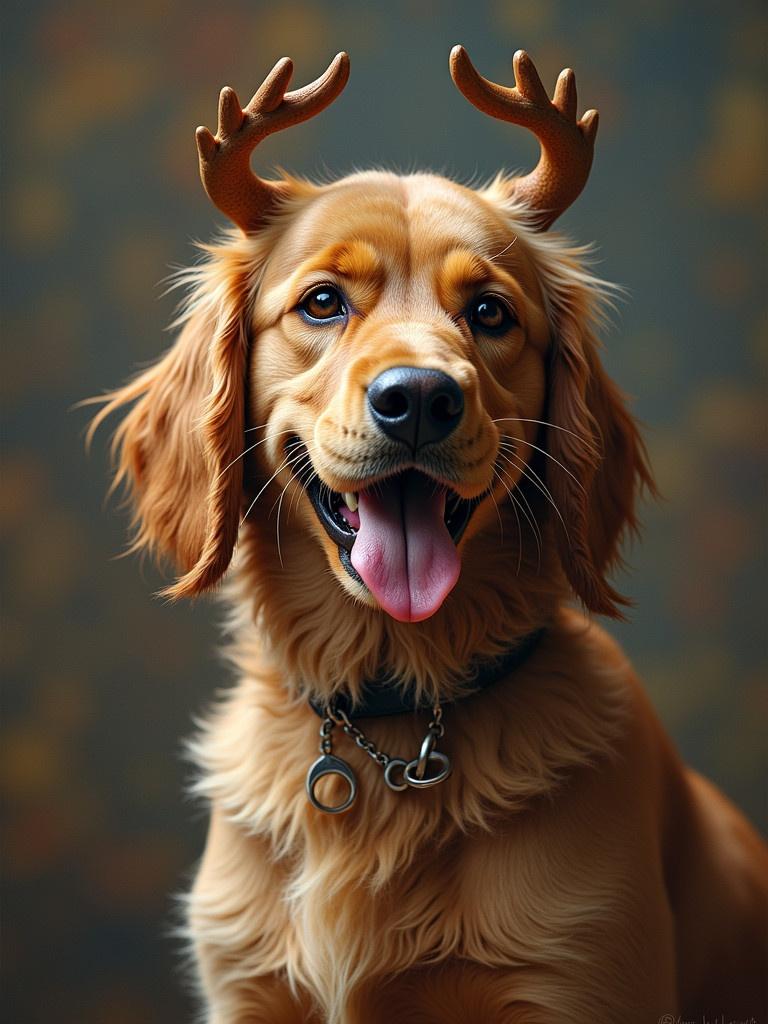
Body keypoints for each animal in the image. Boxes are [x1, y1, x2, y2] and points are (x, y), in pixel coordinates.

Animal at [91, 46, 768, 1015]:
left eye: (490, 313)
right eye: (323, 303)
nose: (417, 398)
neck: (396, 714)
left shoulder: (581, 977)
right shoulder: (248, 987)